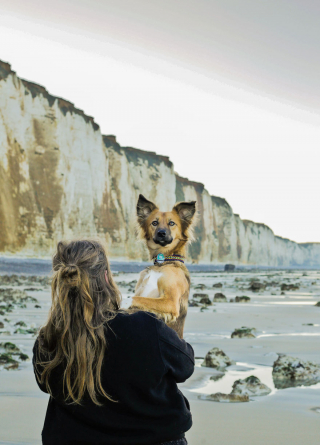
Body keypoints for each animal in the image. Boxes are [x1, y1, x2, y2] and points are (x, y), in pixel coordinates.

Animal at [129, 194, 195, 336]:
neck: (162, 262)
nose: (161, 233)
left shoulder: (170, 302)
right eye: (154, 223)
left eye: (172, 223)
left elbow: (136, 299)